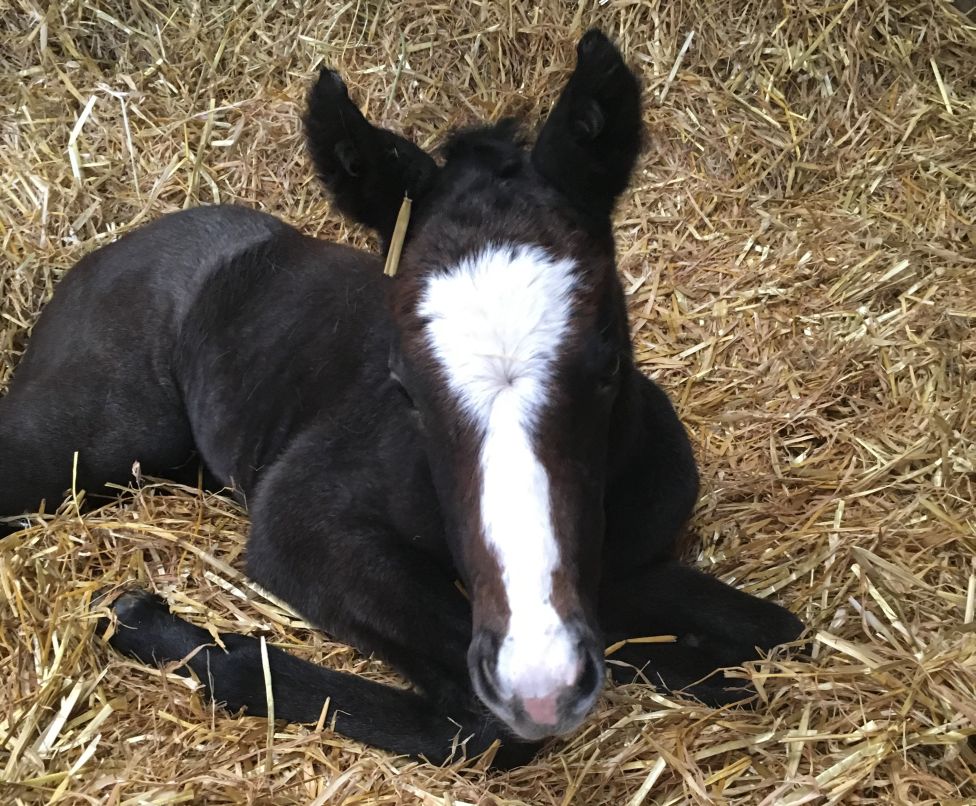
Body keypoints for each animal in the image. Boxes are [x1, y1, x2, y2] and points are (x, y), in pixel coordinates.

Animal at [0, 30, 803, 768]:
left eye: (608, 362)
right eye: (403, 388)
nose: (541, 681)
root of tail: (103, 254)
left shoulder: (627, 566)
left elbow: (772, 631)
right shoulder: (303, 522)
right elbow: (479, 723)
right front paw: (155, 626)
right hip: (86, 439)